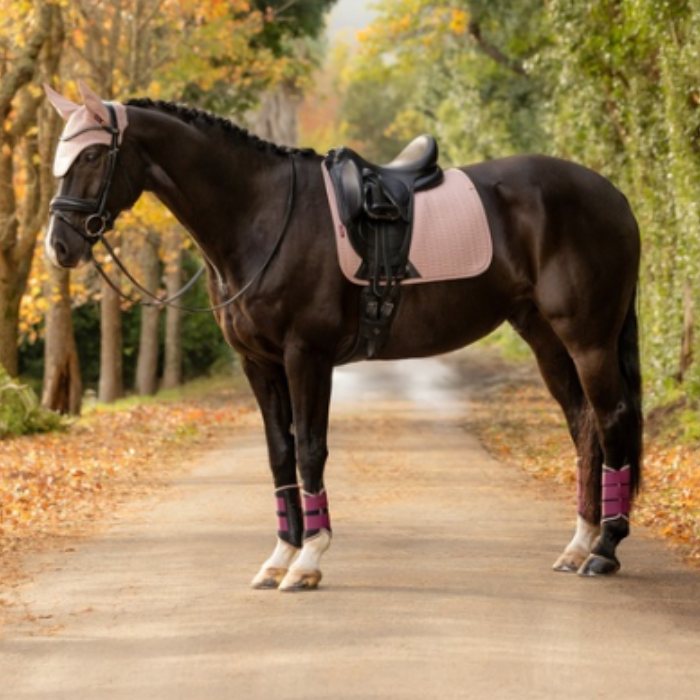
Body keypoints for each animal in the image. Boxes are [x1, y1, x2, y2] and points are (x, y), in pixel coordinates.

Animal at [44, 82, 642, 591]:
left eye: (92, 157)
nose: (59, 247)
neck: (261, 214)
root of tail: (612, 194)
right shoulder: (258, 363)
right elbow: (280, 453)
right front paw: (280, 556)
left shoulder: (306, 356)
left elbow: (310, 450)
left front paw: (308, 560)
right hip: (543, 336)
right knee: (584, 425)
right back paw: (578, 543)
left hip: (587, 338)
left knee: (611, 419)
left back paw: (604, 550)